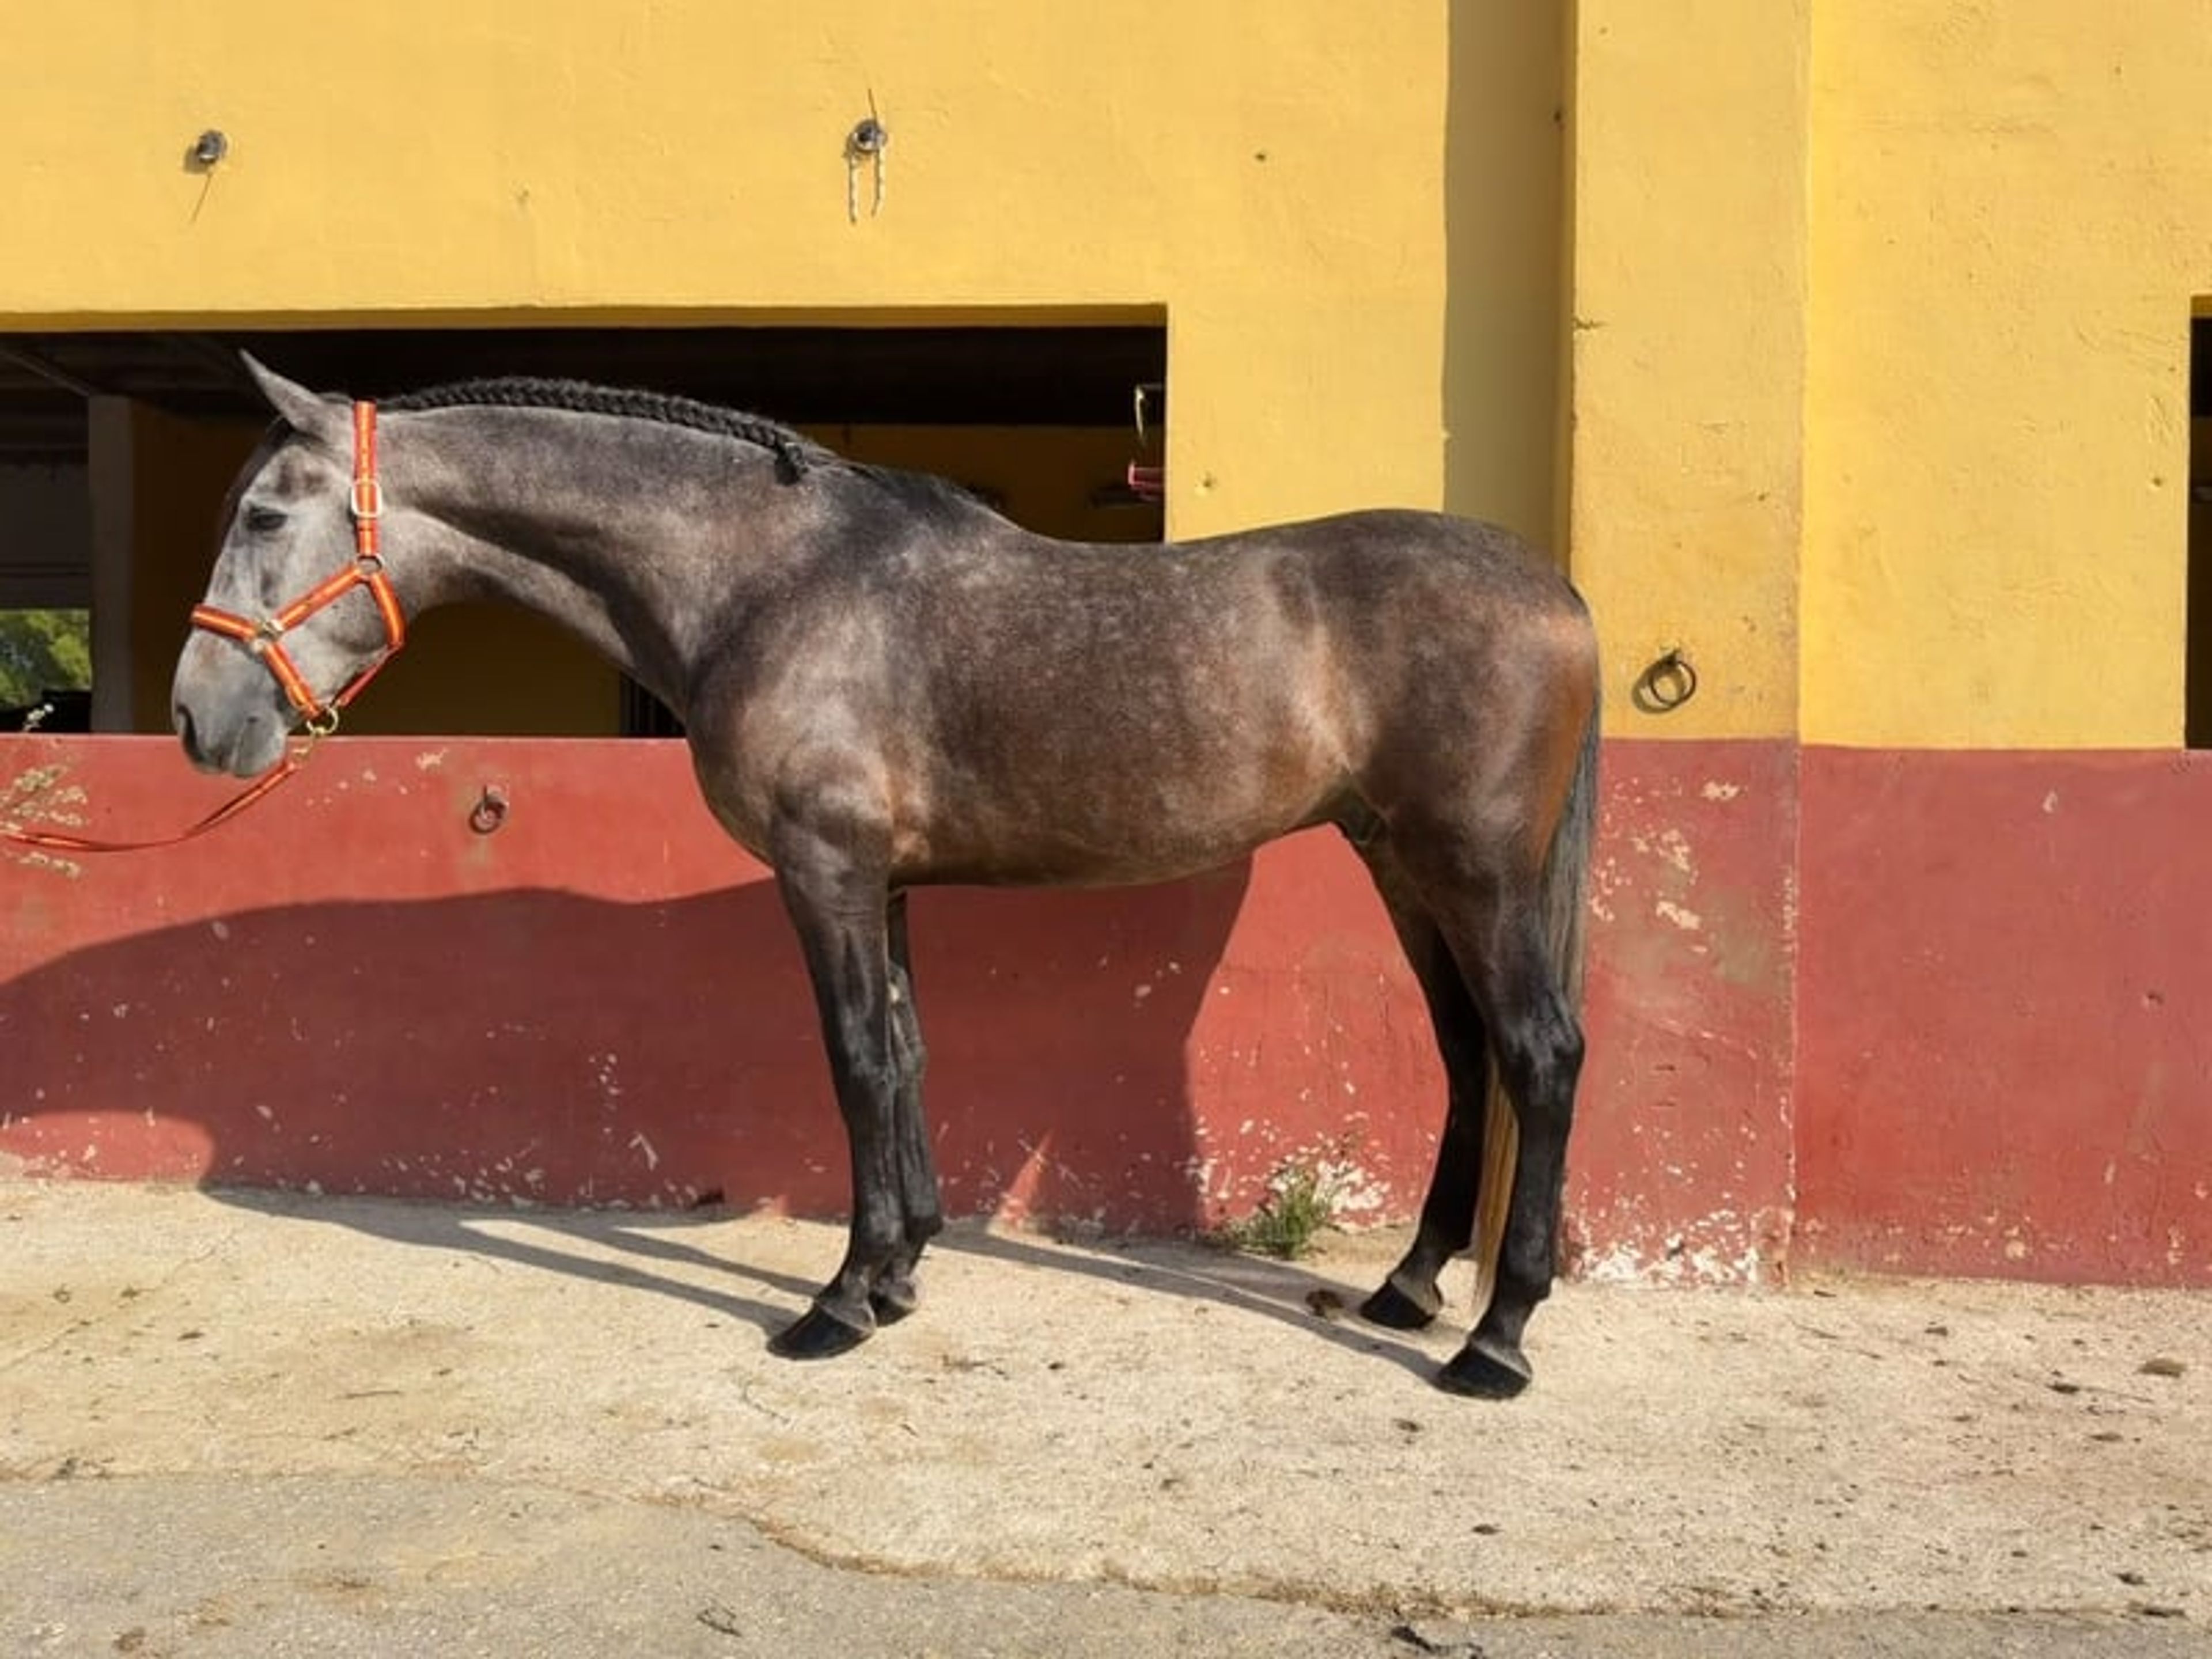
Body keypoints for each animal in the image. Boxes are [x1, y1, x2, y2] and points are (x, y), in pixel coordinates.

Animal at [170, 355, 1601, 1399]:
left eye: (263, 515)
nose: (196, 719)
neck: (768, 577)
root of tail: (1559, 594)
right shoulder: (886, 886)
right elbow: (906, 1051)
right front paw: (904, 1268)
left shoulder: (828, 871)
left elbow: (856, 1059)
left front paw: (843, 1301)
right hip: (1403, 863)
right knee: (1467, 1050)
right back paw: (1411, 1289)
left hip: (1473, 870)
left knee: (1538, 1052)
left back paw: (1495, 1342)